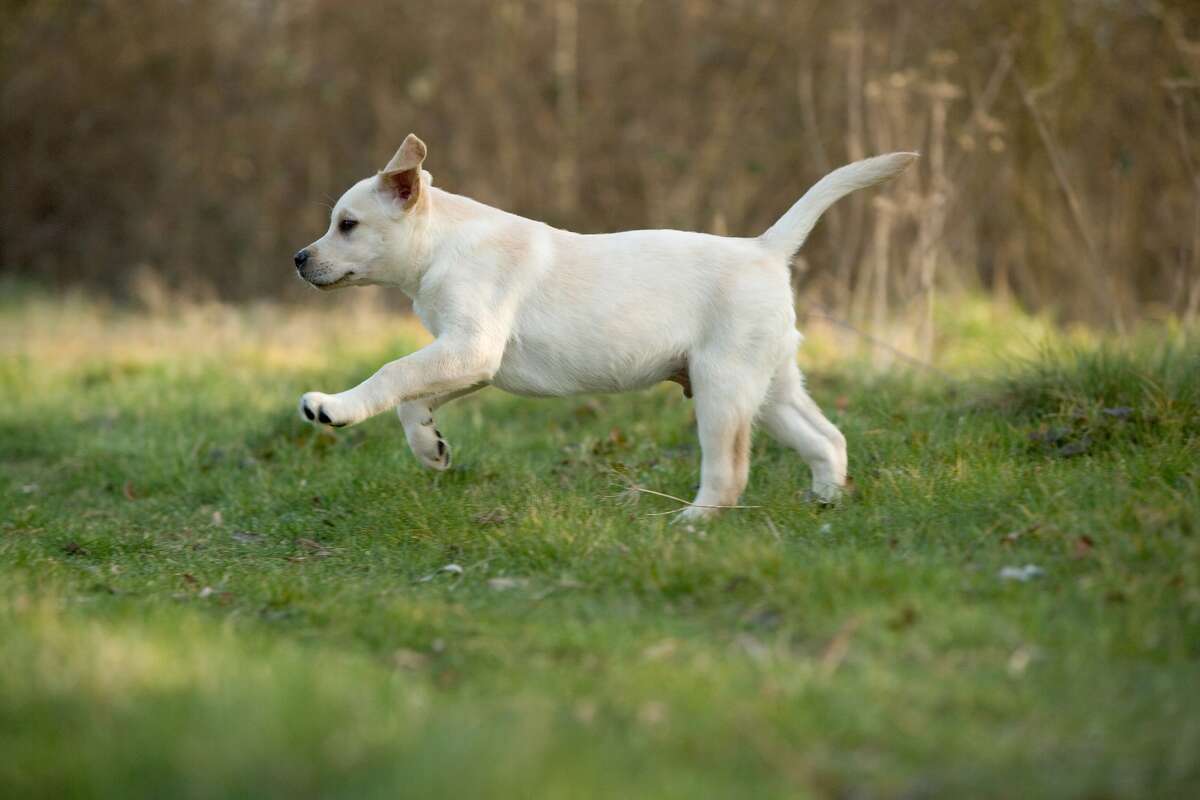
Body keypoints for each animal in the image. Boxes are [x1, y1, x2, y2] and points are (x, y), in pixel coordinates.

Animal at [295, 134, 912, 522]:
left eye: (347, 225)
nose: (299, 258)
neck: (443, 244)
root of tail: (765, 249)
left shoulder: (470, 347)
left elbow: (391, 374)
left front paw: (334, 407)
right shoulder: (472, 360)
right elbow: (410, 398)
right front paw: (430, 448)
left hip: (724, 388)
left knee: (730, 473)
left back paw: (688, 524)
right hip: (772, 388)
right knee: (828, 439)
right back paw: (827, 504)